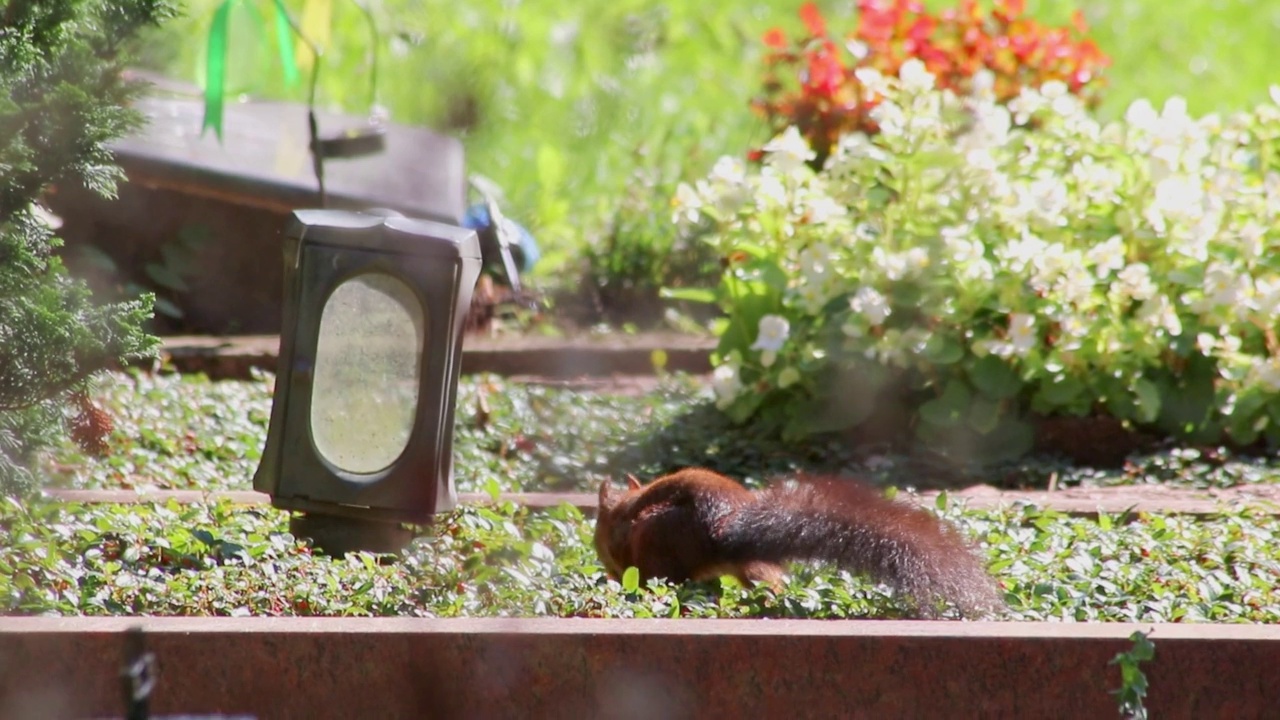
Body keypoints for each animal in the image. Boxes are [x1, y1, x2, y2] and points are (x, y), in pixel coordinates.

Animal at [593, 466, 1003, 617]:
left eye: (597, 535)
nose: (608, 570)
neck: (624, 510)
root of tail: (722, 530)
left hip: (656, 536)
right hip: (752, 567)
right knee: (768, 582)